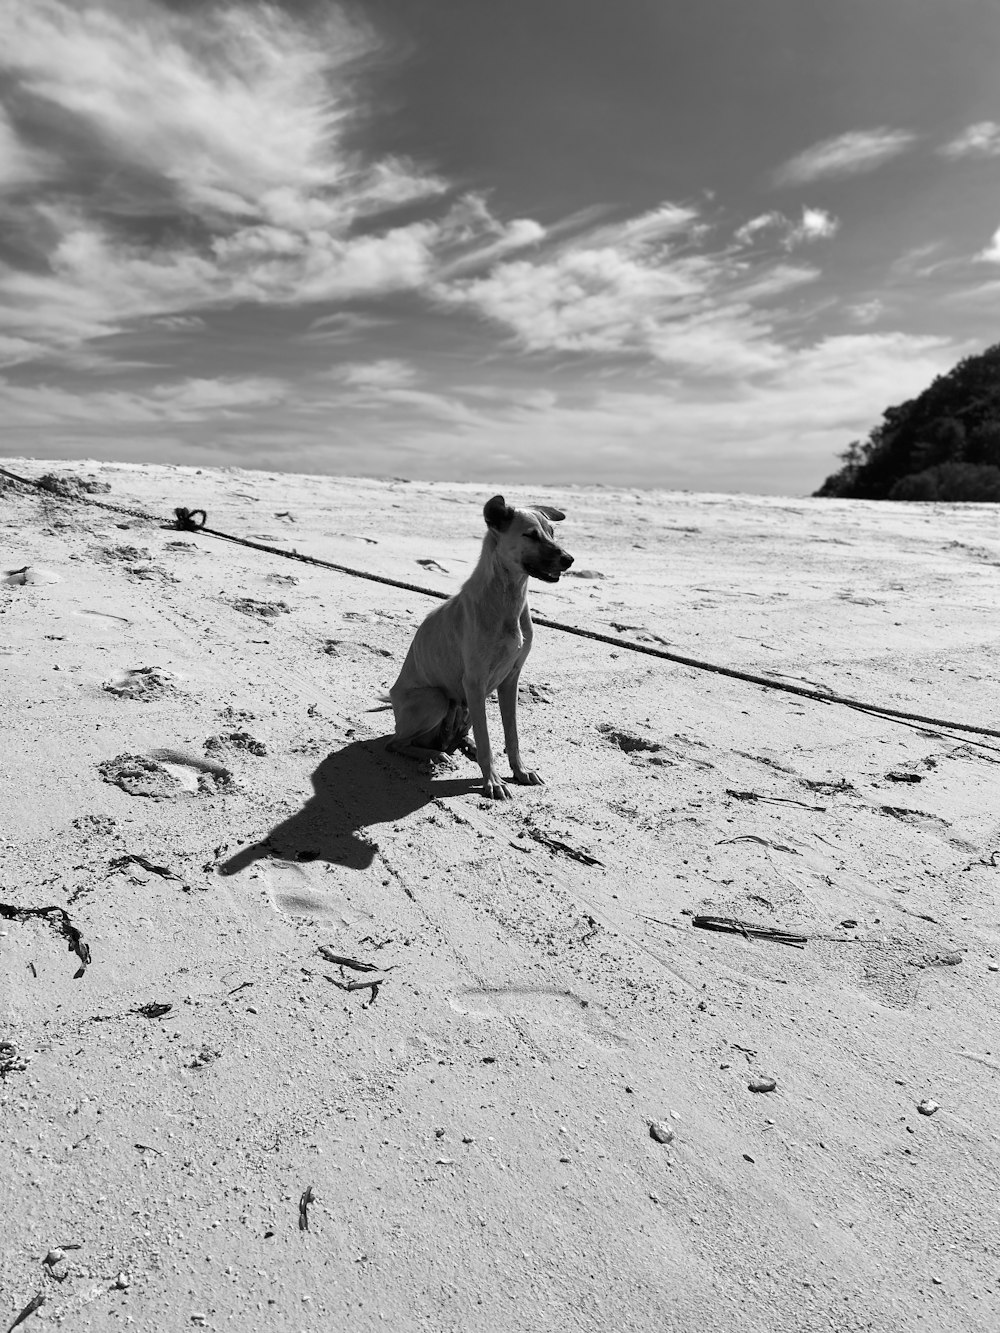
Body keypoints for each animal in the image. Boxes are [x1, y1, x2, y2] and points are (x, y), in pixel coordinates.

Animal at [386, 495, 576, 794]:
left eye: (552, 533)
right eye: (531, 535)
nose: (569, 560)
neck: (508, 598)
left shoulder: (510, 679)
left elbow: (512, 735)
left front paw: (520, 770)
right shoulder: (474, 682)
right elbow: (487, 739)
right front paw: (493, 781)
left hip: (463, 707)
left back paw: (463, 746)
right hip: (436, 699)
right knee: (396, 743)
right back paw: (435, 754)